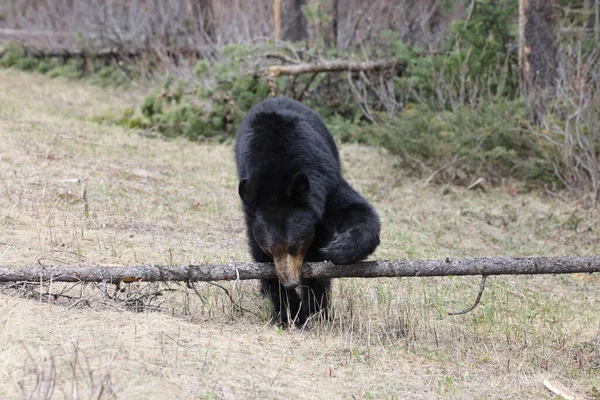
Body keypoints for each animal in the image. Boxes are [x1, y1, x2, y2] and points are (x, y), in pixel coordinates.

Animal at [234, 96, 380, 324]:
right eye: (270, 250)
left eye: (294, 246)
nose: (290, 282)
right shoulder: (252, 213)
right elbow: (261, 259)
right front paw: (291, 311)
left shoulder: (325, 183)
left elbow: (357, 211)